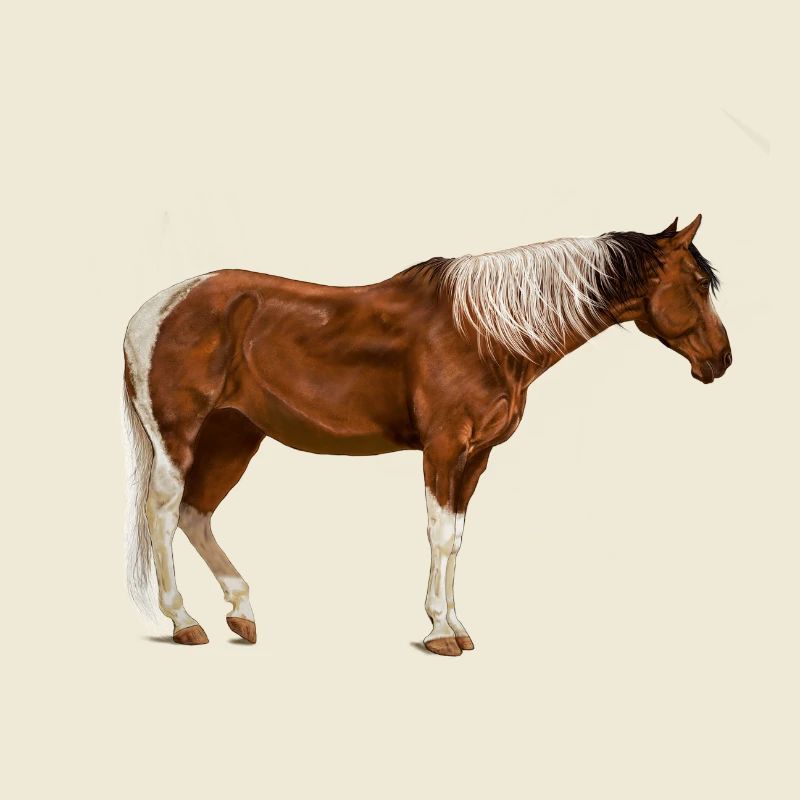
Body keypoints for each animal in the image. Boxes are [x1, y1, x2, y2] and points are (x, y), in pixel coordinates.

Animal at [122, 214, 731, 655]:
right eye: (700, 283)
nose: (721, 360)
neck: (485, 332)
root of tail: (151, 311)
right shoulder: (443, 449)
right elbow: (439, 535)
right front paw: (440, 633)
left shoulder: (476, 458)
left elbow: (457, 538)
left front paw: (457, 625)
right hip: (181, 437)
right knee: (165, 512)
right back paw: (184, 621)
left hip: (235, 436)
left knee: (197, 514)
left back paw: (242, 612)